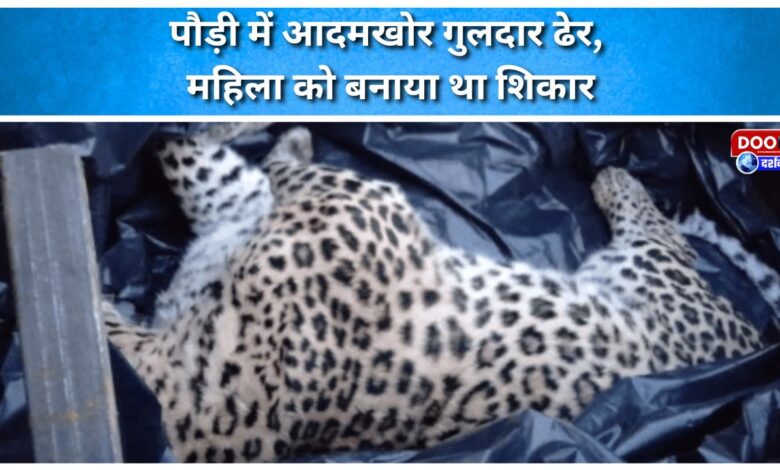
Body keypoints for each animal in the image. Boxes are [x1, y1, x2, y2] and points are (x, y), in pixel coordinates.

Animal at [102, 123, 766, 463]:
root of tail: (744, 340)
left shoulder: (332, 205)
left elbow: (204, 152)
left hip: (652, 271)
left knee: (655, 225)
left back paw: (613, 170)